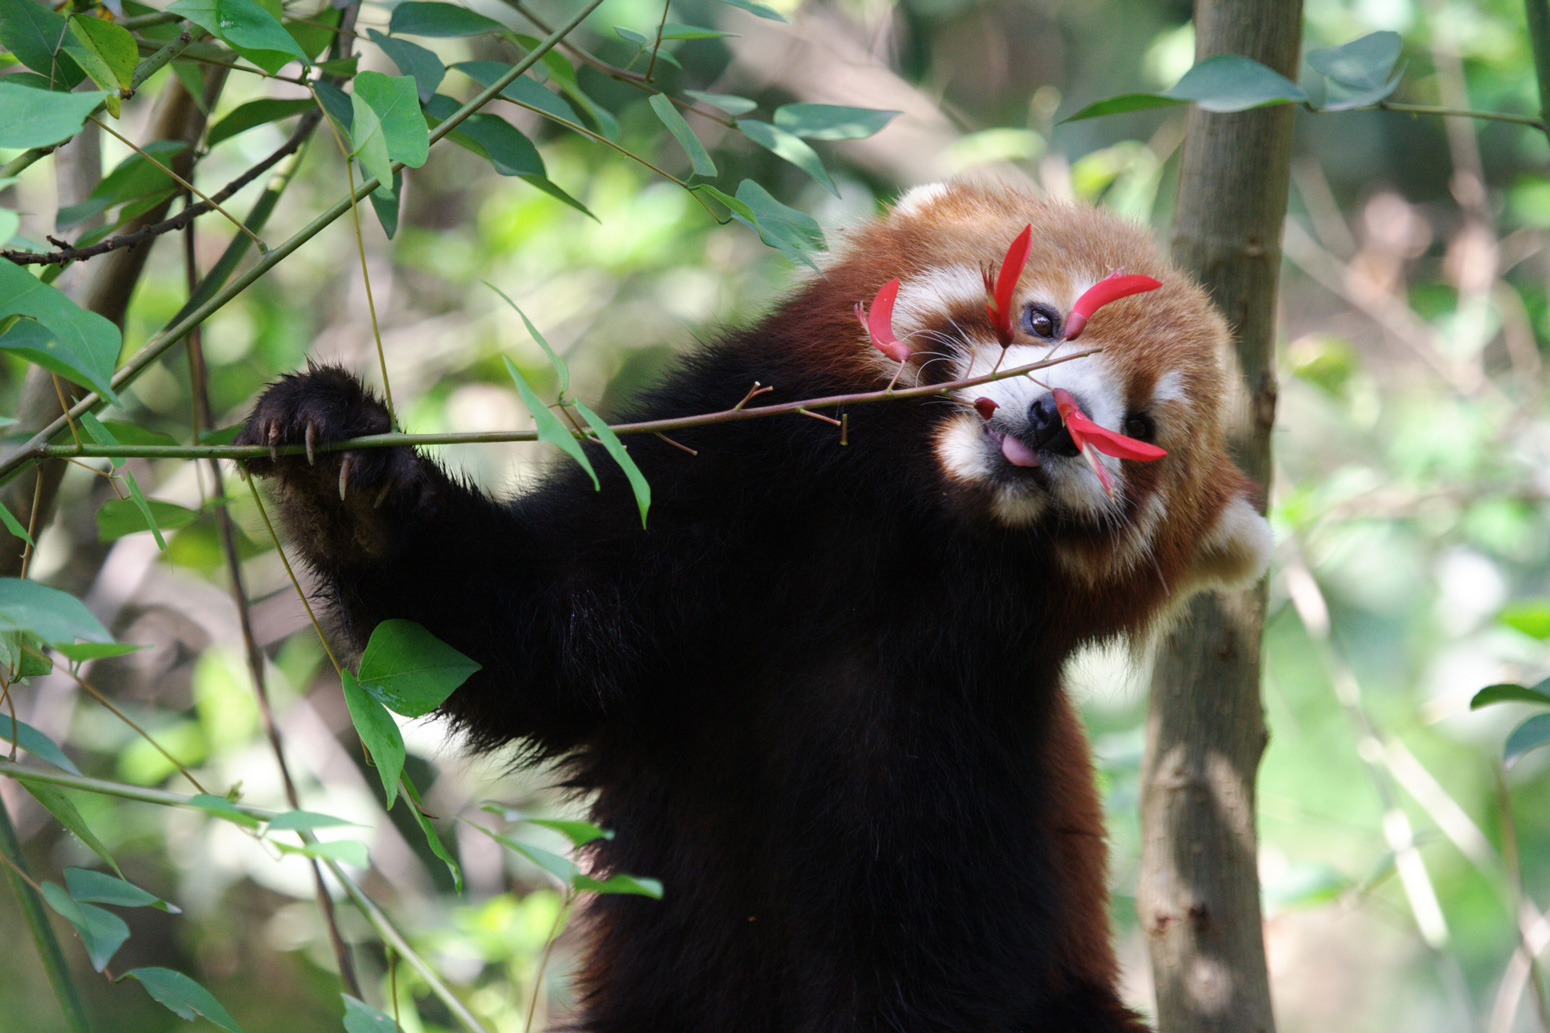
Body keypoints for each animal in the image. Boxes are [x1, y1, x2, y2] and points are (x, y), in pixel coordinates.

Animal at [235, 179, 1264, 1029]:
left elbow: (919, 970)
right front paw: (347, 478)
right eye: (1045, 317)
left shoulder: (958, 756)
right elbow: (520, 628)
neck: (902, 540)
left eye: (1139, 427)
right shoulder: (707, 522)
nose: (1054, 421)